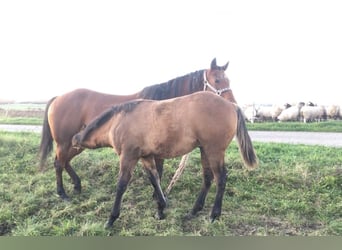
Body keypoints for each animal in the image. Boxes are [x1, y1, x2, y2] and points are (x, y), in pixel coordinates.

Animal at [39, 58, 238, 199]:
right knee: (58, 163)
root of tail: (58, 98)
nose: (233, 106)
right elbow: (158, 171)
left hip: (76, 144)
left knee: (64, 161)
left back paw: (77, 185)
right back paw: (62, 193)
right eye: (217, 80)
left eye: (229, 80)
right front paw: (157, 196)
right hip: (64, 142)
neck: (163, 104)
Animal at [72, 91, 258, 227]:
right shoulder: (146, 156)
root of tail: (231, 105)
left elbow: (121, 185)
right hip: (205, 150)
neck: (118, 121)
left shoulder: (128, 156)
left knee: (221, 179)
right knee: (208, 178)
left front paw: (111, 219)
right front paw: (161, 209)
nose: (73, 141)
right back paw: (194, 211)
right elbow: (154, 179)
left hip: (214, 150)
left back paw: (214, 215)